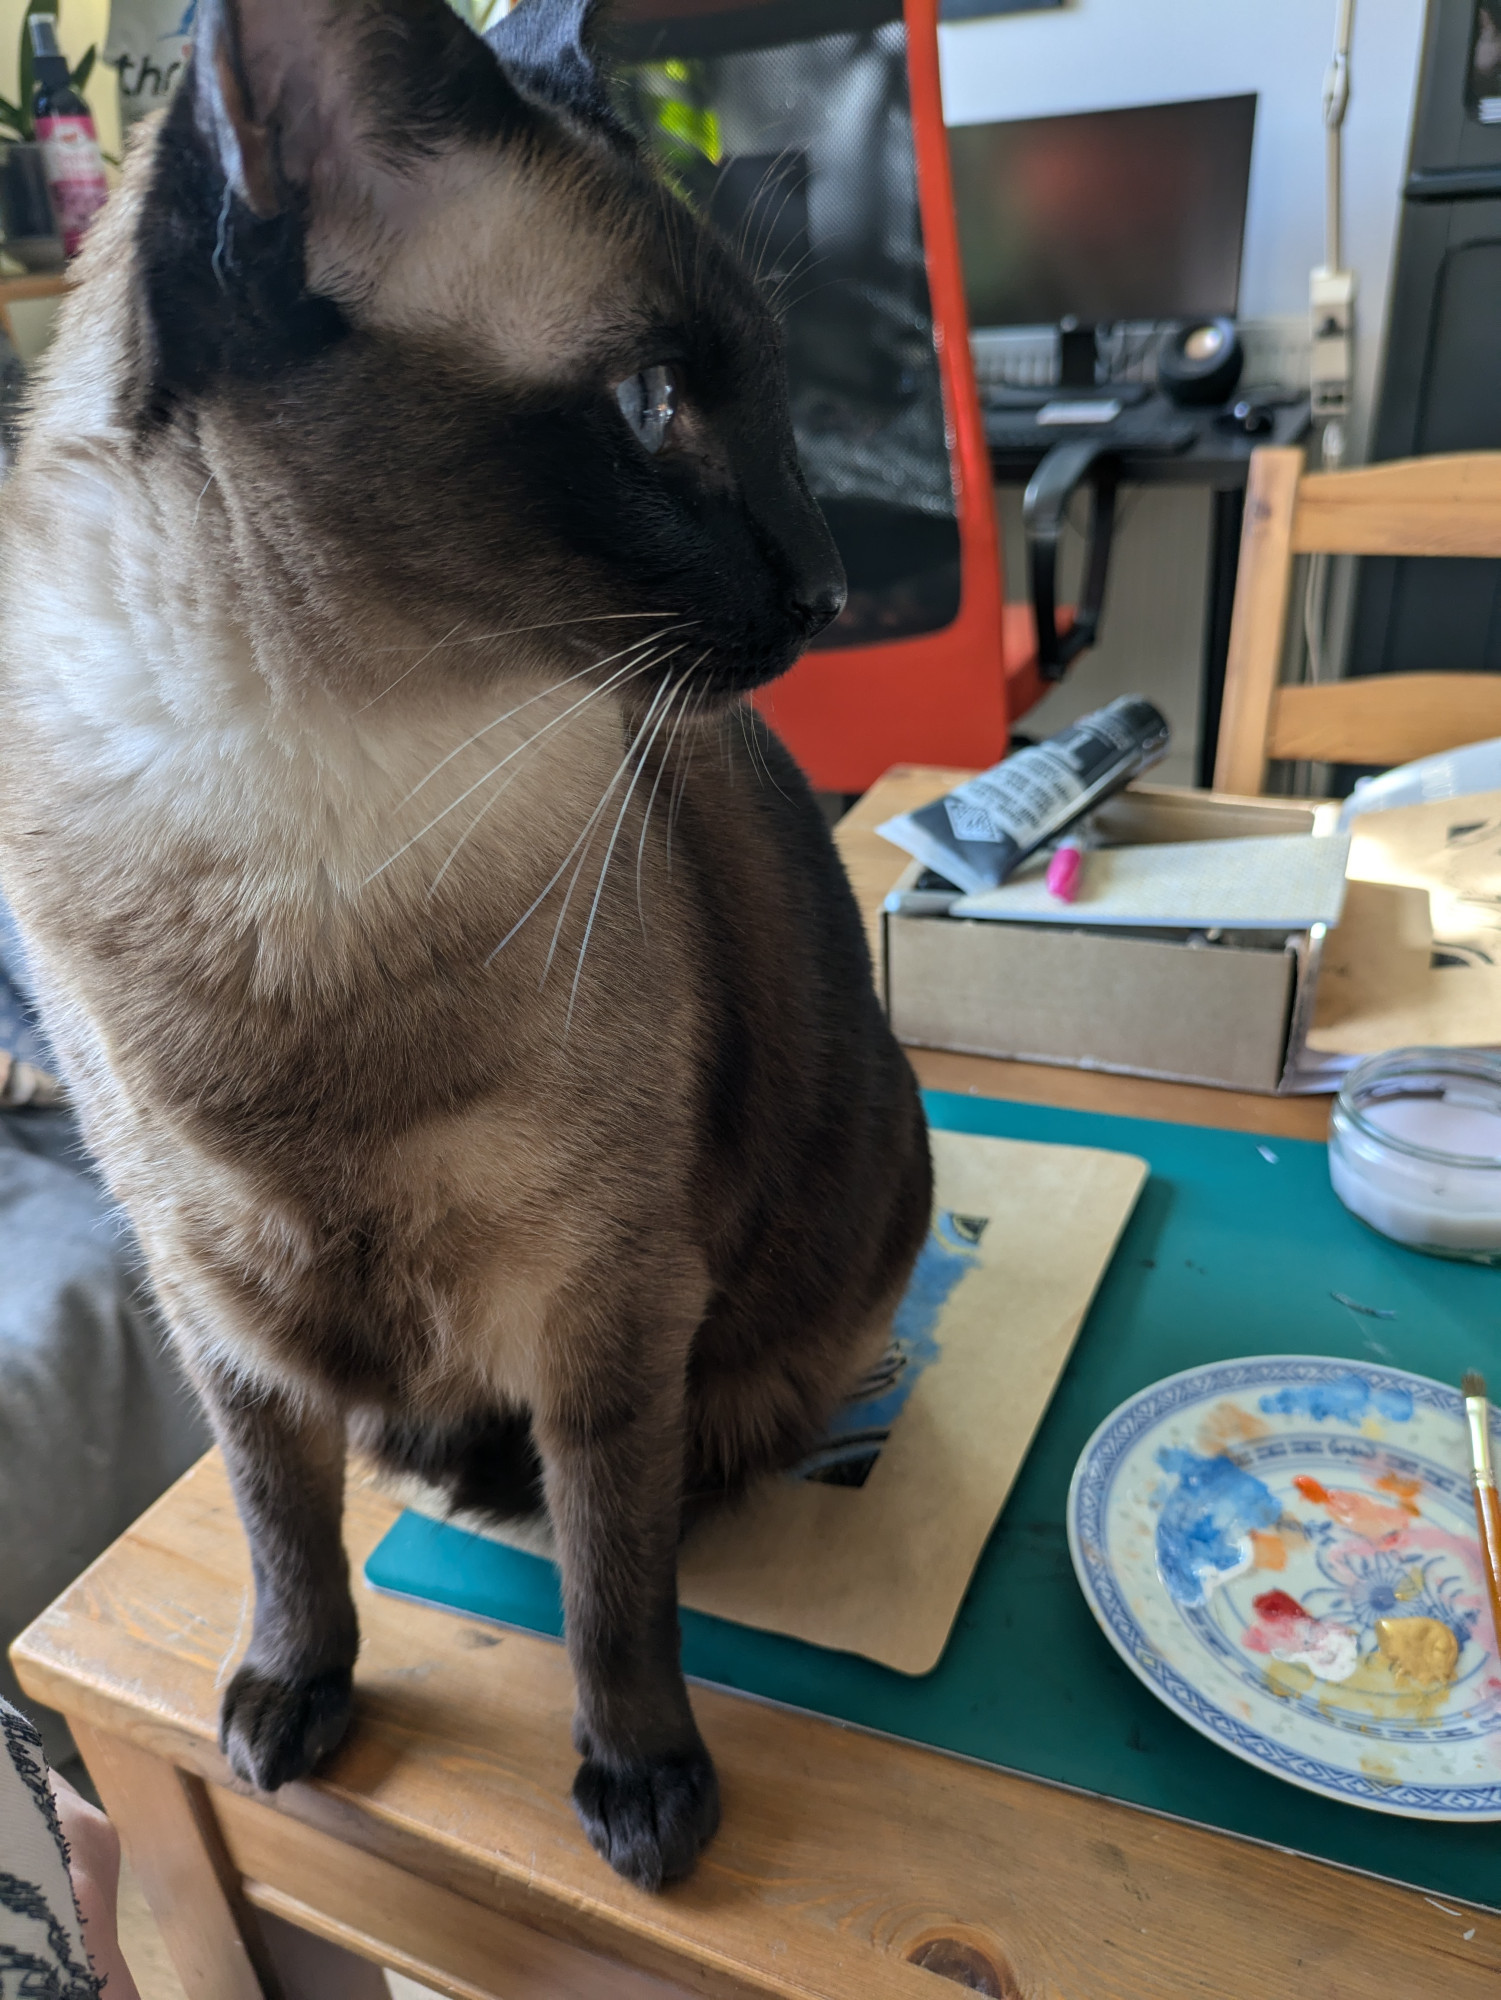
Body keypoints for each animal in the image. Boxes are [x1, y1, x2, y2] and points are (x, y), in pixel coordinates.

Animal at [0, 0, 936, 1888]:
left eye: (778, 404)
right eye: (653, 406)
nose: (826, 592)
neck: (303, 827)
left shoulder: (604, 1312)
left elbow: (614, 1591)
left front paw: (641, 1792)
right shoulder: (213, 1304)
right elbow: (283, 1535)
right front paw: (294, 1703)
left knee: (687, 1464)